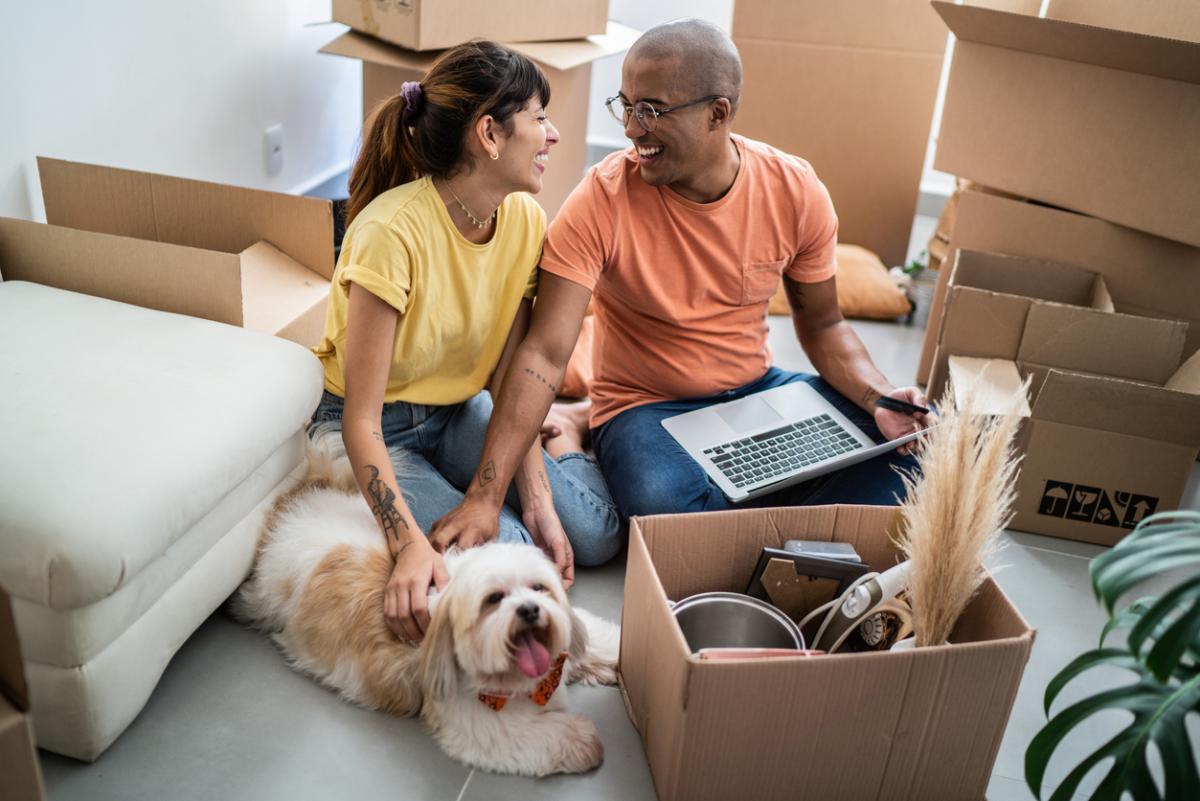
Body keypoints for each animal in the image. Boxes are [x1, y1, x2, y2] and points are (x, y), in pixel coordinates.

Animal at [234, 443, 619, 777]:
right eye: (493, 599)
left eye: (539, 588)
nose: (529, 610)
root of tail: (304, 497)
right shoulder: (480, 723)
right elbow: (540, 735)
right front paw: (585, 741)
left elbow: (598, 638)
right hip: (265, 594)